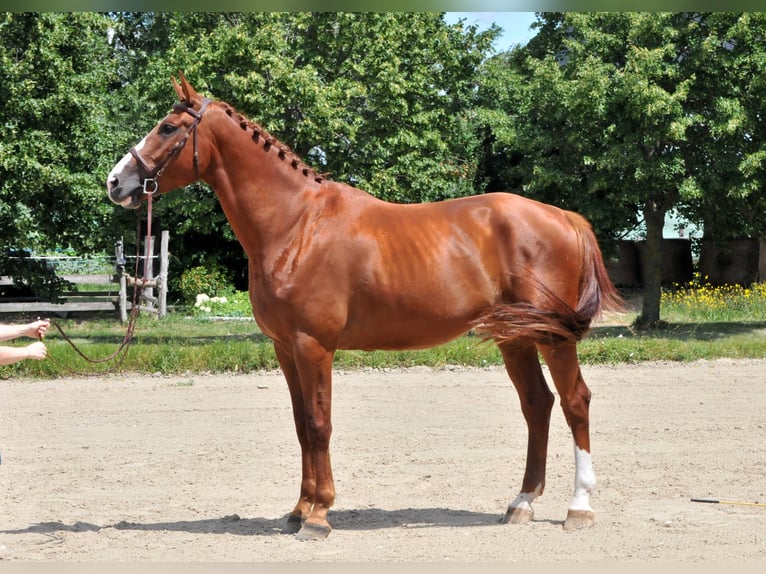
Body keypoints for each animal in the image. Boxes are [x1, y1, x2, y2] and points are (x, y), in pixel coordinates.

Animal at [106, 74, 624, 544]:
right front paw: (298, 510)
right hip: (514, 337)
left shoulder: (314, 346)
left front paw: (318, 516)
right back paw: (521, 503)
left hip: (553, 337)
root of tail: (563, 217)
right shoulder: (285, 349)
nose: (115, 182)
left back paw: (579, 507)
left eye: (168, 127)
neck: (298, 224)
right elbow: (301, 425)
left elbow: (319, 425)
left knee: (575, 402)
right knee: (537, 404)